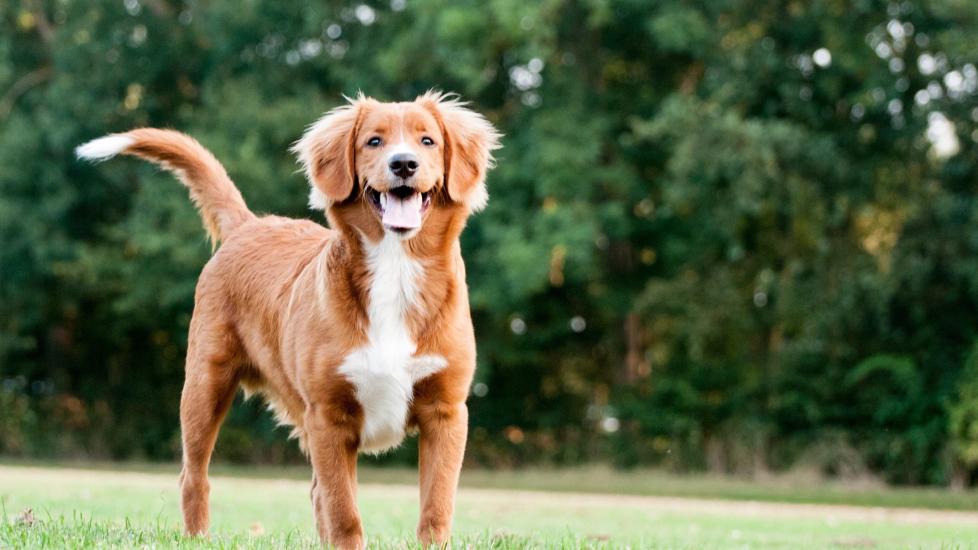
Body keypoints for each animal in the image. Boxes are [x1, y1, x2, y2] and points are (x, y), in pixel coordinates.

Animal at [76, 90, 500, 548]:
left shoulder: (446, 412)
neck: (395, 266)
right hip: (204, 385)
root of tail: (249, 224)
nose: (403, 164)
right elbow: (344, 511)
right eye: (373, 141)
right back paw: (197, 535)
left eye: (427, 141)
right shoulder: (327, 415)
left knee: (314, 492)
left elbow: (434, 508)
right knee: (195, 476)